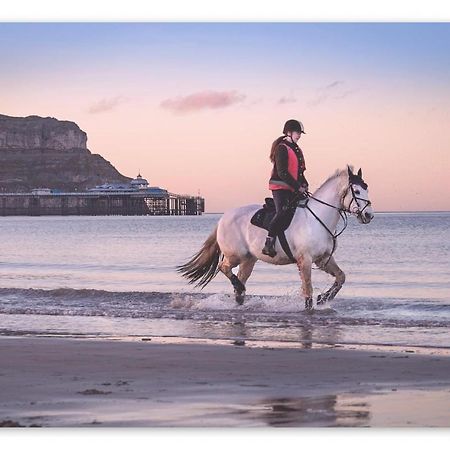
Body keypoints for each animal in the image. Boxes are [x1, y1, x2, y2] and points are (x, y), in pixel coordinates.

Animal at [178, 165, 374, 310]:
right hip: (235, 255)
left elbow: (341, 277)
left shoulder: (323, 259)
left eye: (366, 189)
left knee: (239, 280)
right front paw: (312, 305)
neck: (317, 219)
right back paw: (239, 287)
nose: (369, 215)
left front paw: (324, 298)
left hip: (249, 260)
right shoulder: (305, 260)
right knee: (223, 267)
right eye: (356, 191)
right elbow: (308, 290)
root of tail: (222, 219)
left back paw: (240, 295)